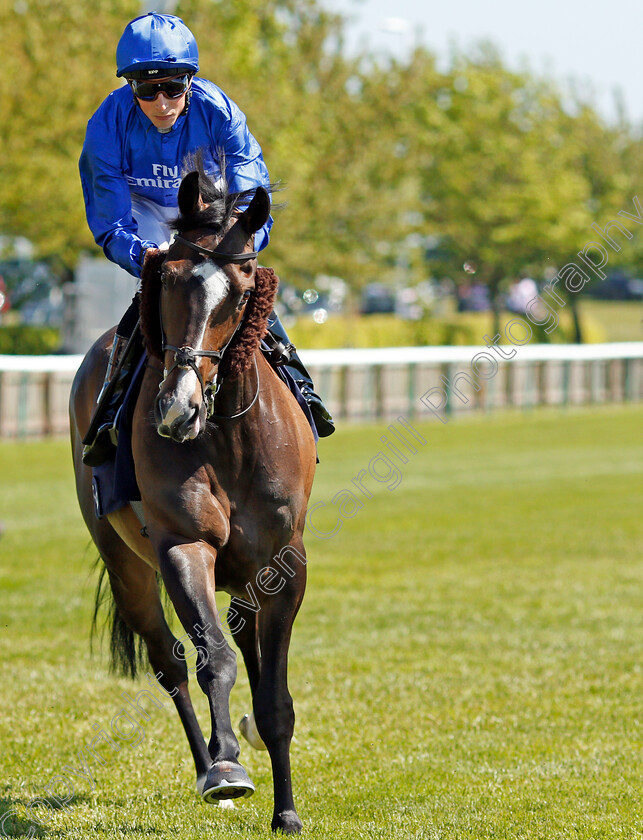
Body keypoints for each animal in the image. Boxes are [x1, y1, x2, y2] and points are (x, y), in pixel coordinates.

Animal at [70, 166, 316, 832]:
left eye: (242, 288)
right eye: (171, 278)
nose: (177, 409)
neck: (228, 437)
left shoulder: (283, 562)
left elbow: (274, 694)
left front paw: (287, 812)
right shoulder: (184, 545)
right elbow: (215, 659)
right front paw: (227, 764)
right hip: (126, 563)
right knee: (172, 661)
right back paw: (209, 764)